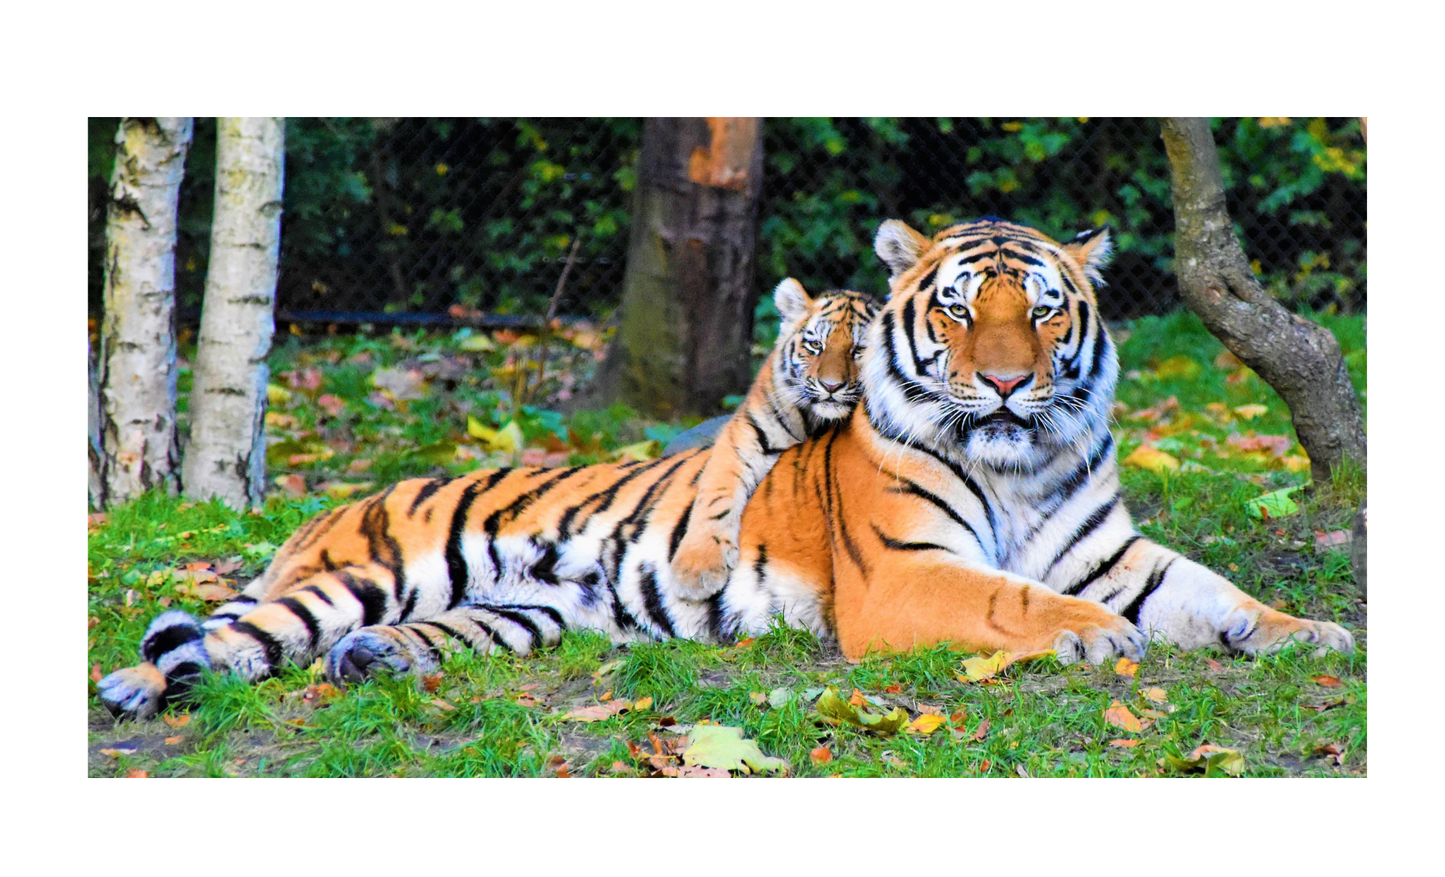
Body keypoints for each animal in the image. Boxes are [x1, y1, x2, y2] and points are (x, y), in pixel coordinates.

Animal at [669, 279, 877, 598]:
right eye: (816, 345)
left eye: (859, 349)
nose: (831, 386)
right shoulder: (744, 435)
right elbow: (716, 495)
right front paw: (696, 570)